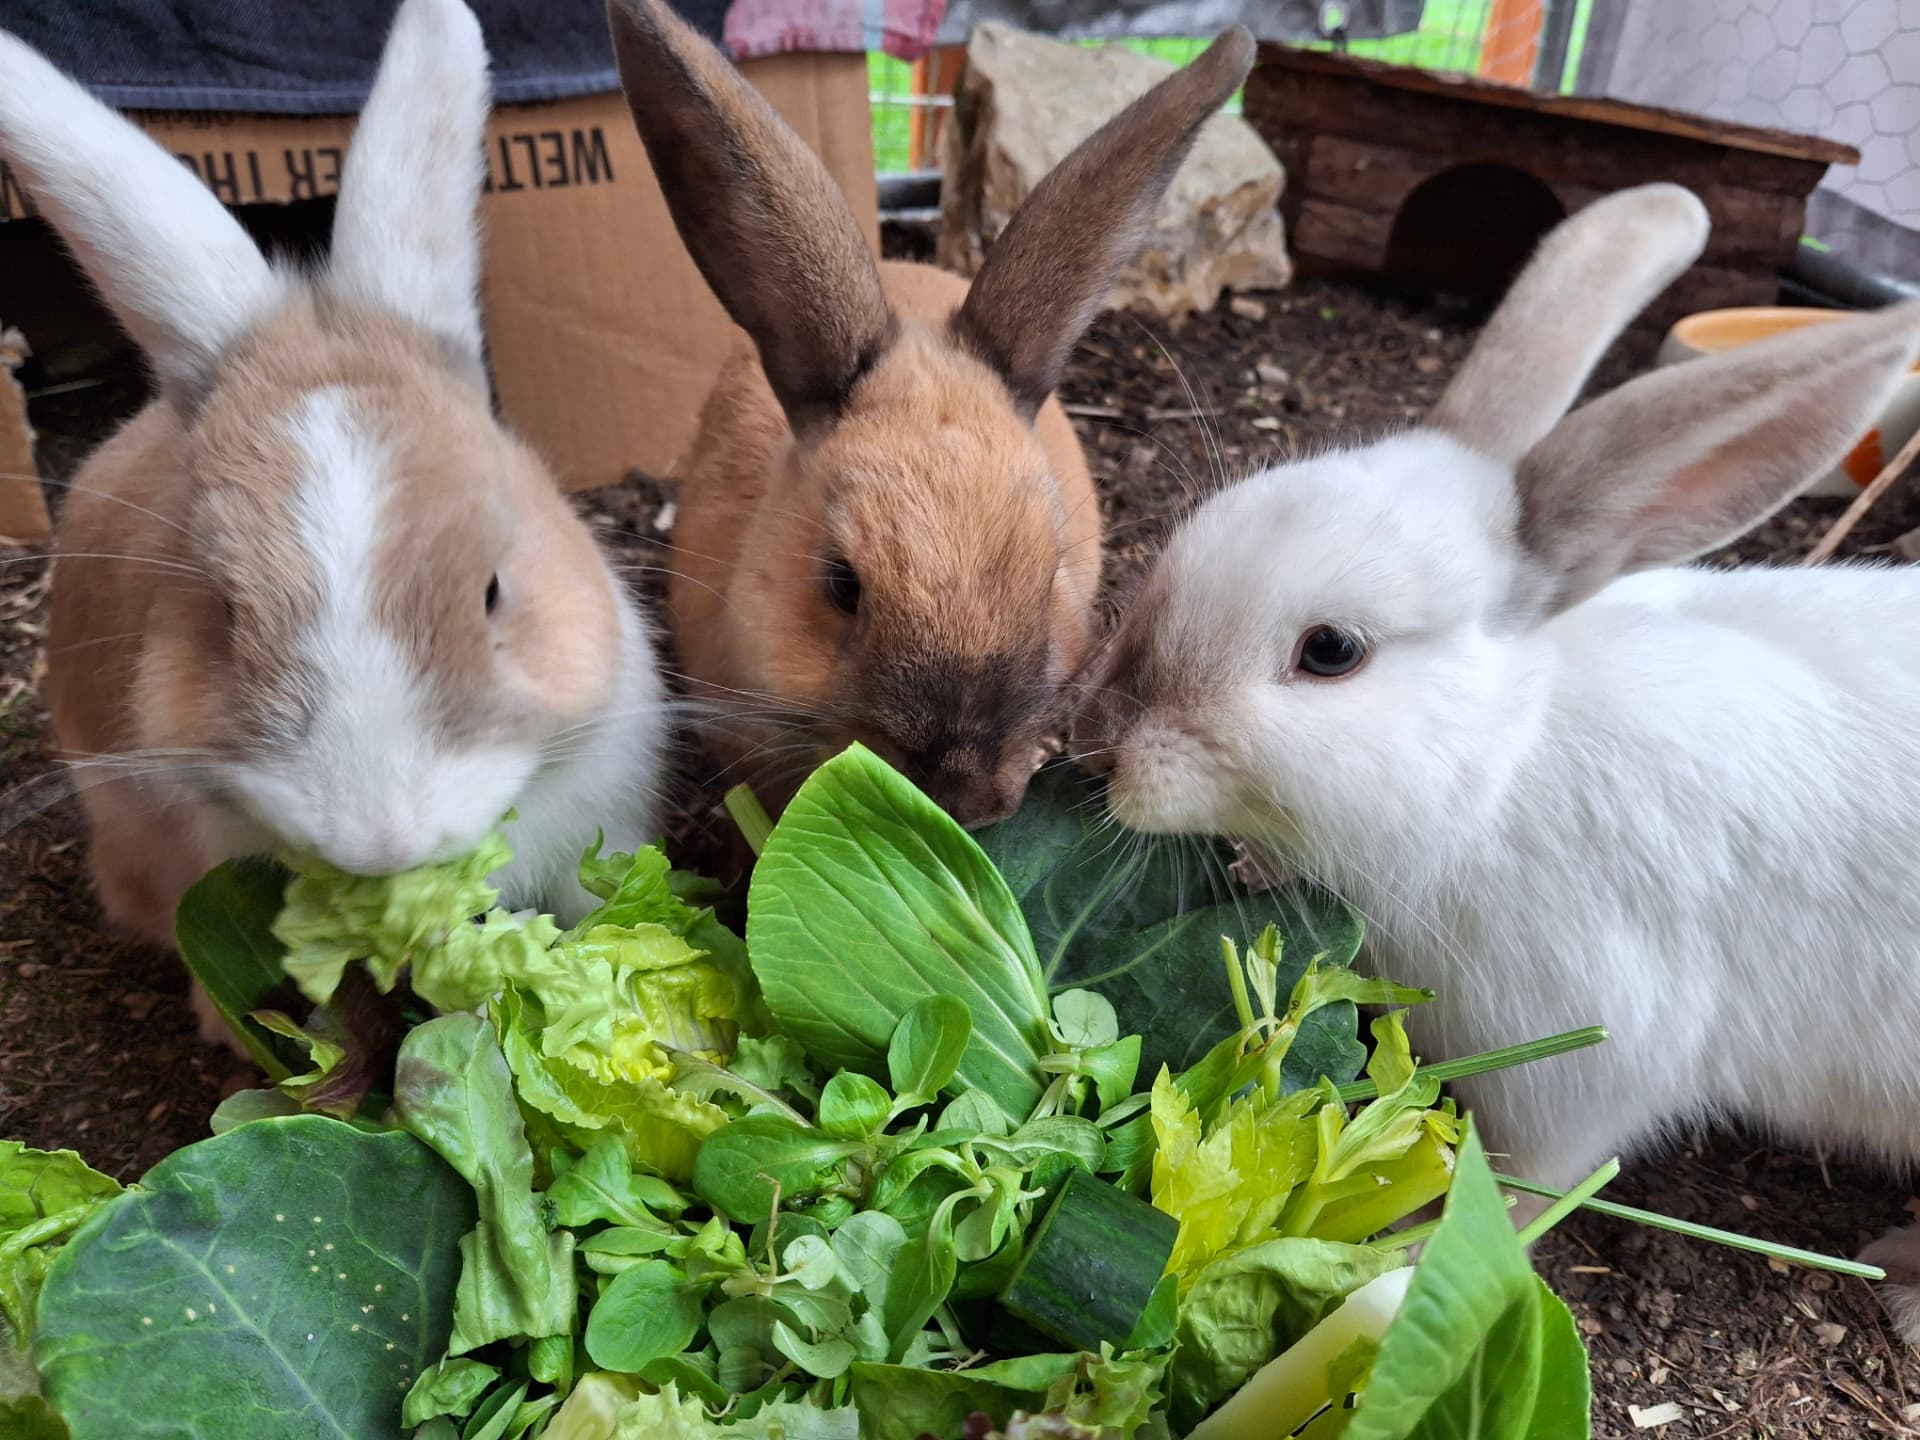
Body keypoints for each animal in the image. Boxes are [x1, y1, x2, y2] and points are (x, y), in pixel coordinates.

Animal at [1071, 182, 1920, 1341]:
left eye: (1332, 652)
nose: (1100, 741)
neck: (1496, 771)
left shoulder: (1588, 1055)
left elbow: (1529, 1179)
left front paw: (1415, 1243)